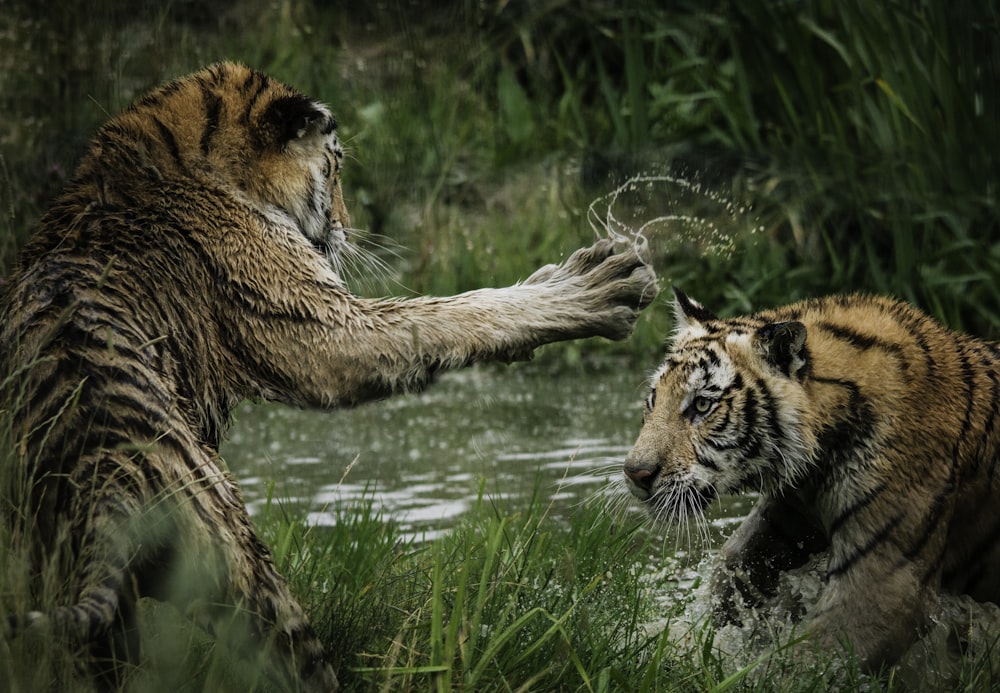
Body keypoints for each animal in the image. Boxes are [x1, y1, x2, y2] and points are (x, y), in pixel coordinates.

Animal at [0, 62, 660, 688]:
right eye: (336, 168)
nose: (345, 226)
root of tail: (102, 469)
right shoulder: (326, 328)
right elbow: (453, 312)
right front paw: (597, 287)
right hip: (239, 562)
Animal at [620, 286, 1000, 672]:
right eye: (653, 400)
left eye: (701, 405)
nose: (634, 472)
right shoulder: (788, 516)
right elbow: (731, 569)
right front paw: (669, 643)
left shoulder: (886, 584)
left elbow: (804, 663)